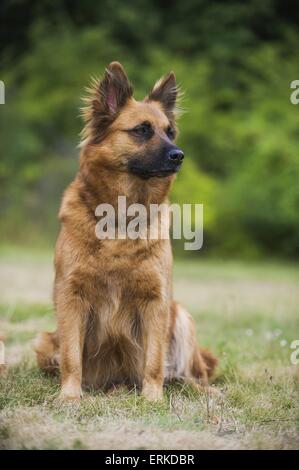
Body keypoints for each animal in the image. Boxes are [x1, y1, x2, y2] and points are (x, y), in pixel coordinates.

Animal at [34, 61, 218, 400]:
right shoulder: (71, 296)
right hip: (44, 342)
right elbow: (71, 358)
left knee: (189, 374)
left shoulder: (157, 301)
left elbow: (154, 361)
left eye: (169, 132)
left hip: (182, 317)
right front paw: (70, 396)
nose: (179, 155)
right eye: (142, 130)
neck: (122, 217)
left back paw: (201, 390)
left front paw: (153, 399)